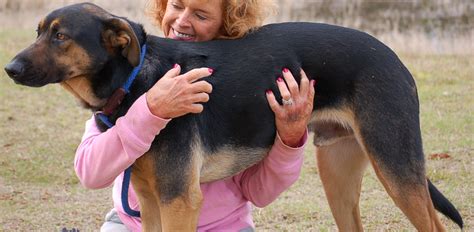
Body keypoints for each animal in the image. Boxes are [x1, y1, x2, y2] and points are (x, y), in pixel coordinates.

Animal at [3, 2, 462, 231]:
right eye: (39, 31)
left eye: (60, 36)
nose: (9, 68)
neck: (137, 80)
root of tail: (396, 59)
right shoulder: (151, 201)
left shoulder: (179, 200)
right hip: (337, 172)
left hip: (395, 165)